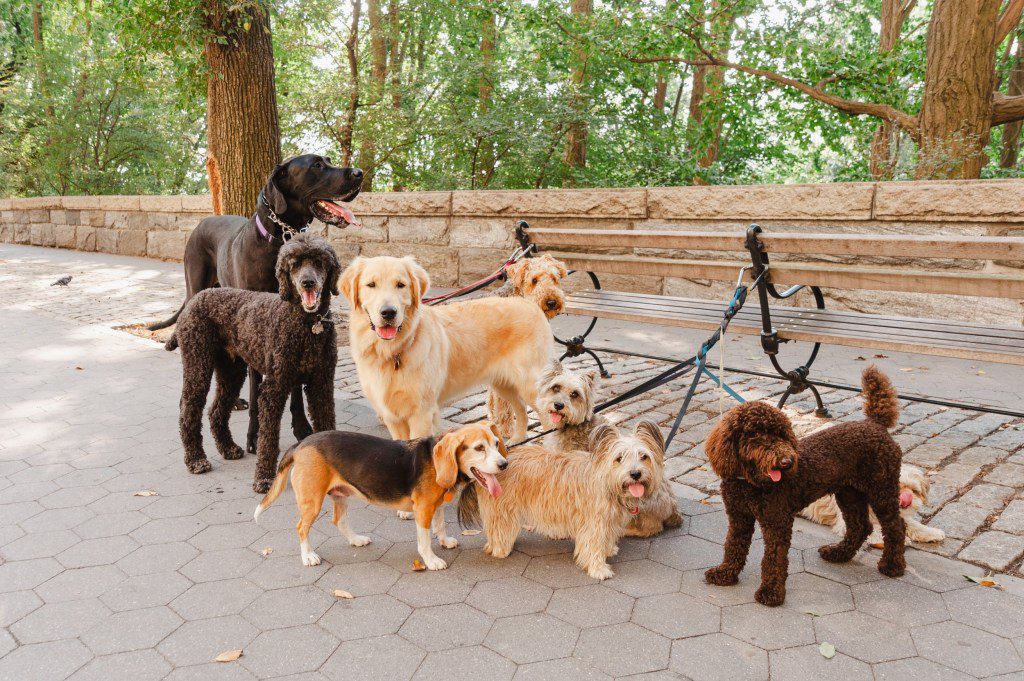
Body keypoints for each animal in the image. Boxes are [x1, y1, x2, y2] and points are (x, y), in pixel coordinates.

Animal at [339, 254, 552, 440]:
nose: (388, 312)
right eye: (371, 285)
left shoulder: (421, 414)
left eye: (400, 285)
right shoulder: (393, 417)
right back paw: (517, 440)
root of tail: (530, 304)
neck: (393, 352)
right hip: (505, 384)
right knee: (522, 410)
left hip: (529, 384)